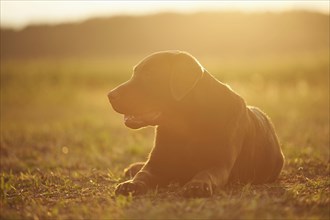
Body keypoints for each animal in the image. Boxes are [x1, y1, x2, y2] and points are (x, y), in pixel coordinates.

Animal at [108, 50, 284, 197]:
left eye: (149, 74)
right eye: (135, 73)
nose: (110, 95)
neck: (187, 126)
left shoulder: (219, 164)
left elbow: (206, 173)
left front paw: (197, 185)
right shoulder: (156, 164)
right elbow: (143, 173)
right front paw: (131, 184)